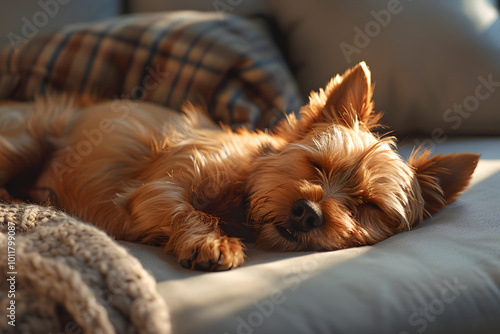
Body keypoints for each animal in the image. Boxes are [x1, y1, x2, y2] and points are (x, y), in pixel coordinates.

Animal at [0, 63, 478, 272]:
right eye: (316, 165)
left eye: (368, 206)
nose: (307, 212)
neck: (240, 202)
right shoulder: (163, 185)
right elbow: (192, 210)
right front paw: (215, 243)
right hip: (26, 140)